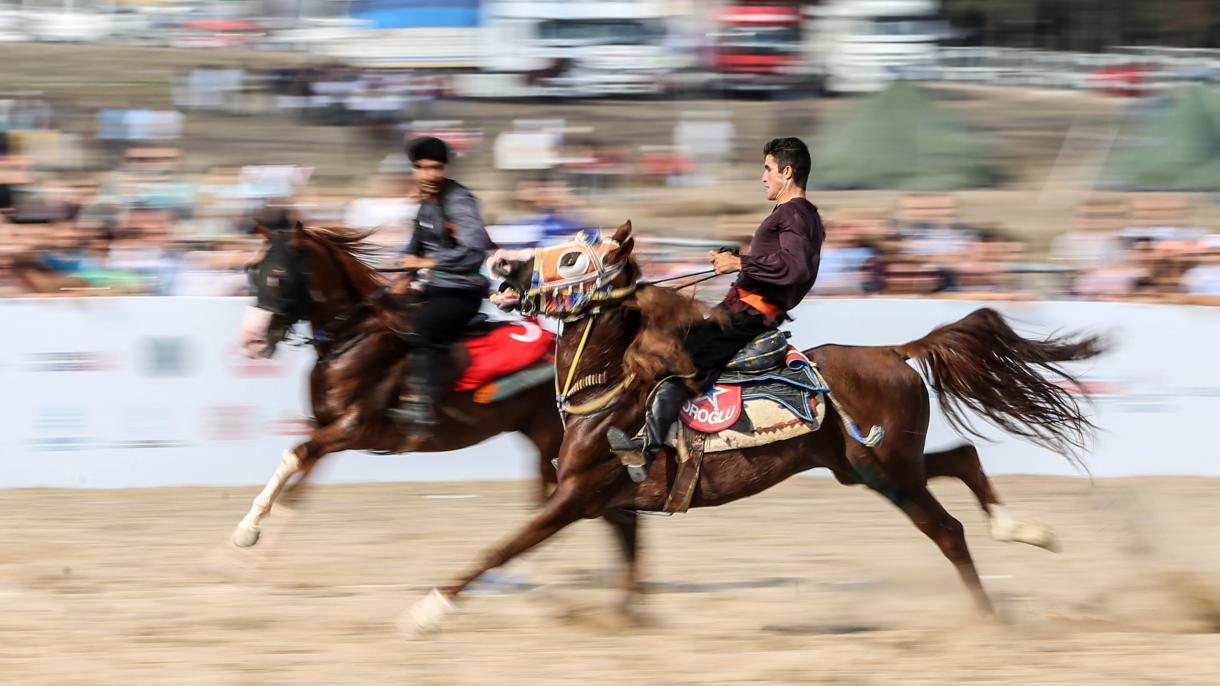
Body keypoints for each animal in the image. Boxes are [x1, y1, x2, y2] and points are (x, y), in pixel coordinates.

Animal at [229, 224, 639, 556]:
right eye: (251, 271)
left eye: (278, 276)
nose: (251, 341)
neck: (355, 338)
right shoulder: (326, 428)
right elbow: (297, 488)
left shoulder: (353, 428)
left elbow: (292, 456)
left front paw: (246, 530)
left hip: (555, 446)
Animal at [407, 219, 1107, 629]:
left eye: (575, 258)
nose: (501, 265)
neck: (612, 391)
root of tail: (897, 351)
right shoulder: (612, 502)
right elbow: (630, 561)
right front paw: (630, 618)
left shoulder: (578, 496)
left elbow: (503, 545)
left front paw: (427, 609)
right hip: (867, 467)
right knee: (962, 460)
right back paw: (1026, 531)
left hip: (887, 471)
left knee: (949, 530)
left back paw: (989, 615)